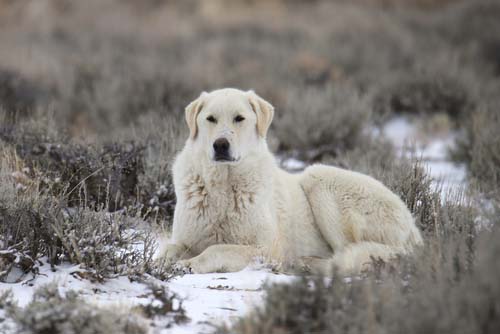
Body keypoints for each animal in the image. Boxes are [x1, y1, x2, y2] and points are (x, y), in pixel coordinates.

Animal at [159, 87, 422, 276]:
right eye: (210, 119)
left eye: (239, 118)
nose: (221, 145)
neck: (224, 186)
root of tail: (414, 229)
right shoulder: (186, 238)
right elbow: (168, 249)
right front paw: (164, 263)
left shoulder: (266, 247)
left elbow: (217, 248)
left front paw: (189, 264)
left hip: (319, 179)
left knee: (346, 258)